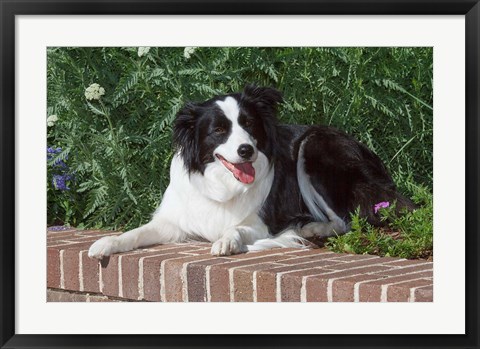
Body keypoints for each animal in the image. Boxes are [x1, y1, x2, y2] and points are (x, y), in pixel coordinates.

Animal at [88, 84, 414, 258]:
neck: (222, 183)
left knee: (346, 219)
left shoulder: (261, 223)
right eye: (219, 130)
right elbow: (134, 233)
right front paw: (106, 243)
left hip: (315, 146)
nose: (246, 150)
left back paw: (311, 227)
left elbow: (235, 228)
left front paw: (226, 241)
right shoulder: (174, 222)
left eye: (249, 124)